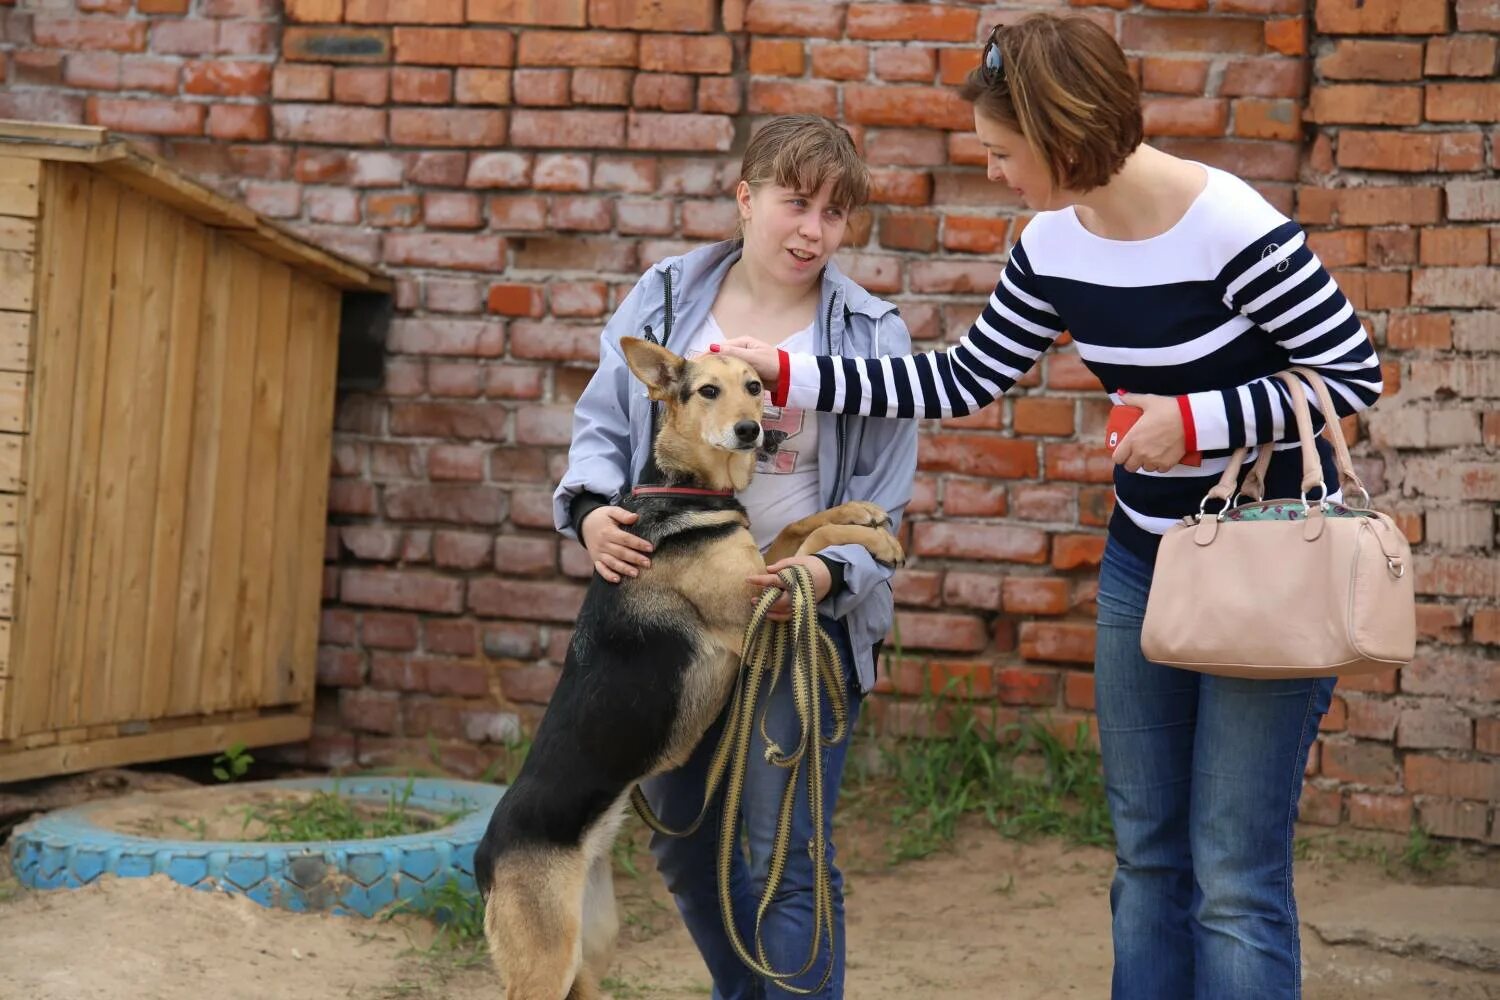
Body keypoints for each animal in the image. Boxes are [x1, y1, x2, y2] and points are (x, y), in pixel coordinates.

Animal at [474, 338, 906, 1000]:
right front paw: (876, 543)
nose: (753, 431)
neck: (686, 491)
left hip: (590, 946)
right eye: (707, 391)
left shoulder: (765, 573)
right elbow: (810, 545)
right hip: (545, 966)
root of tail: (484, 859)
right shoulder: (759, 598)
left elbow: (801, 527)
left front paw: (859, 512)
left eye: (755, 386)